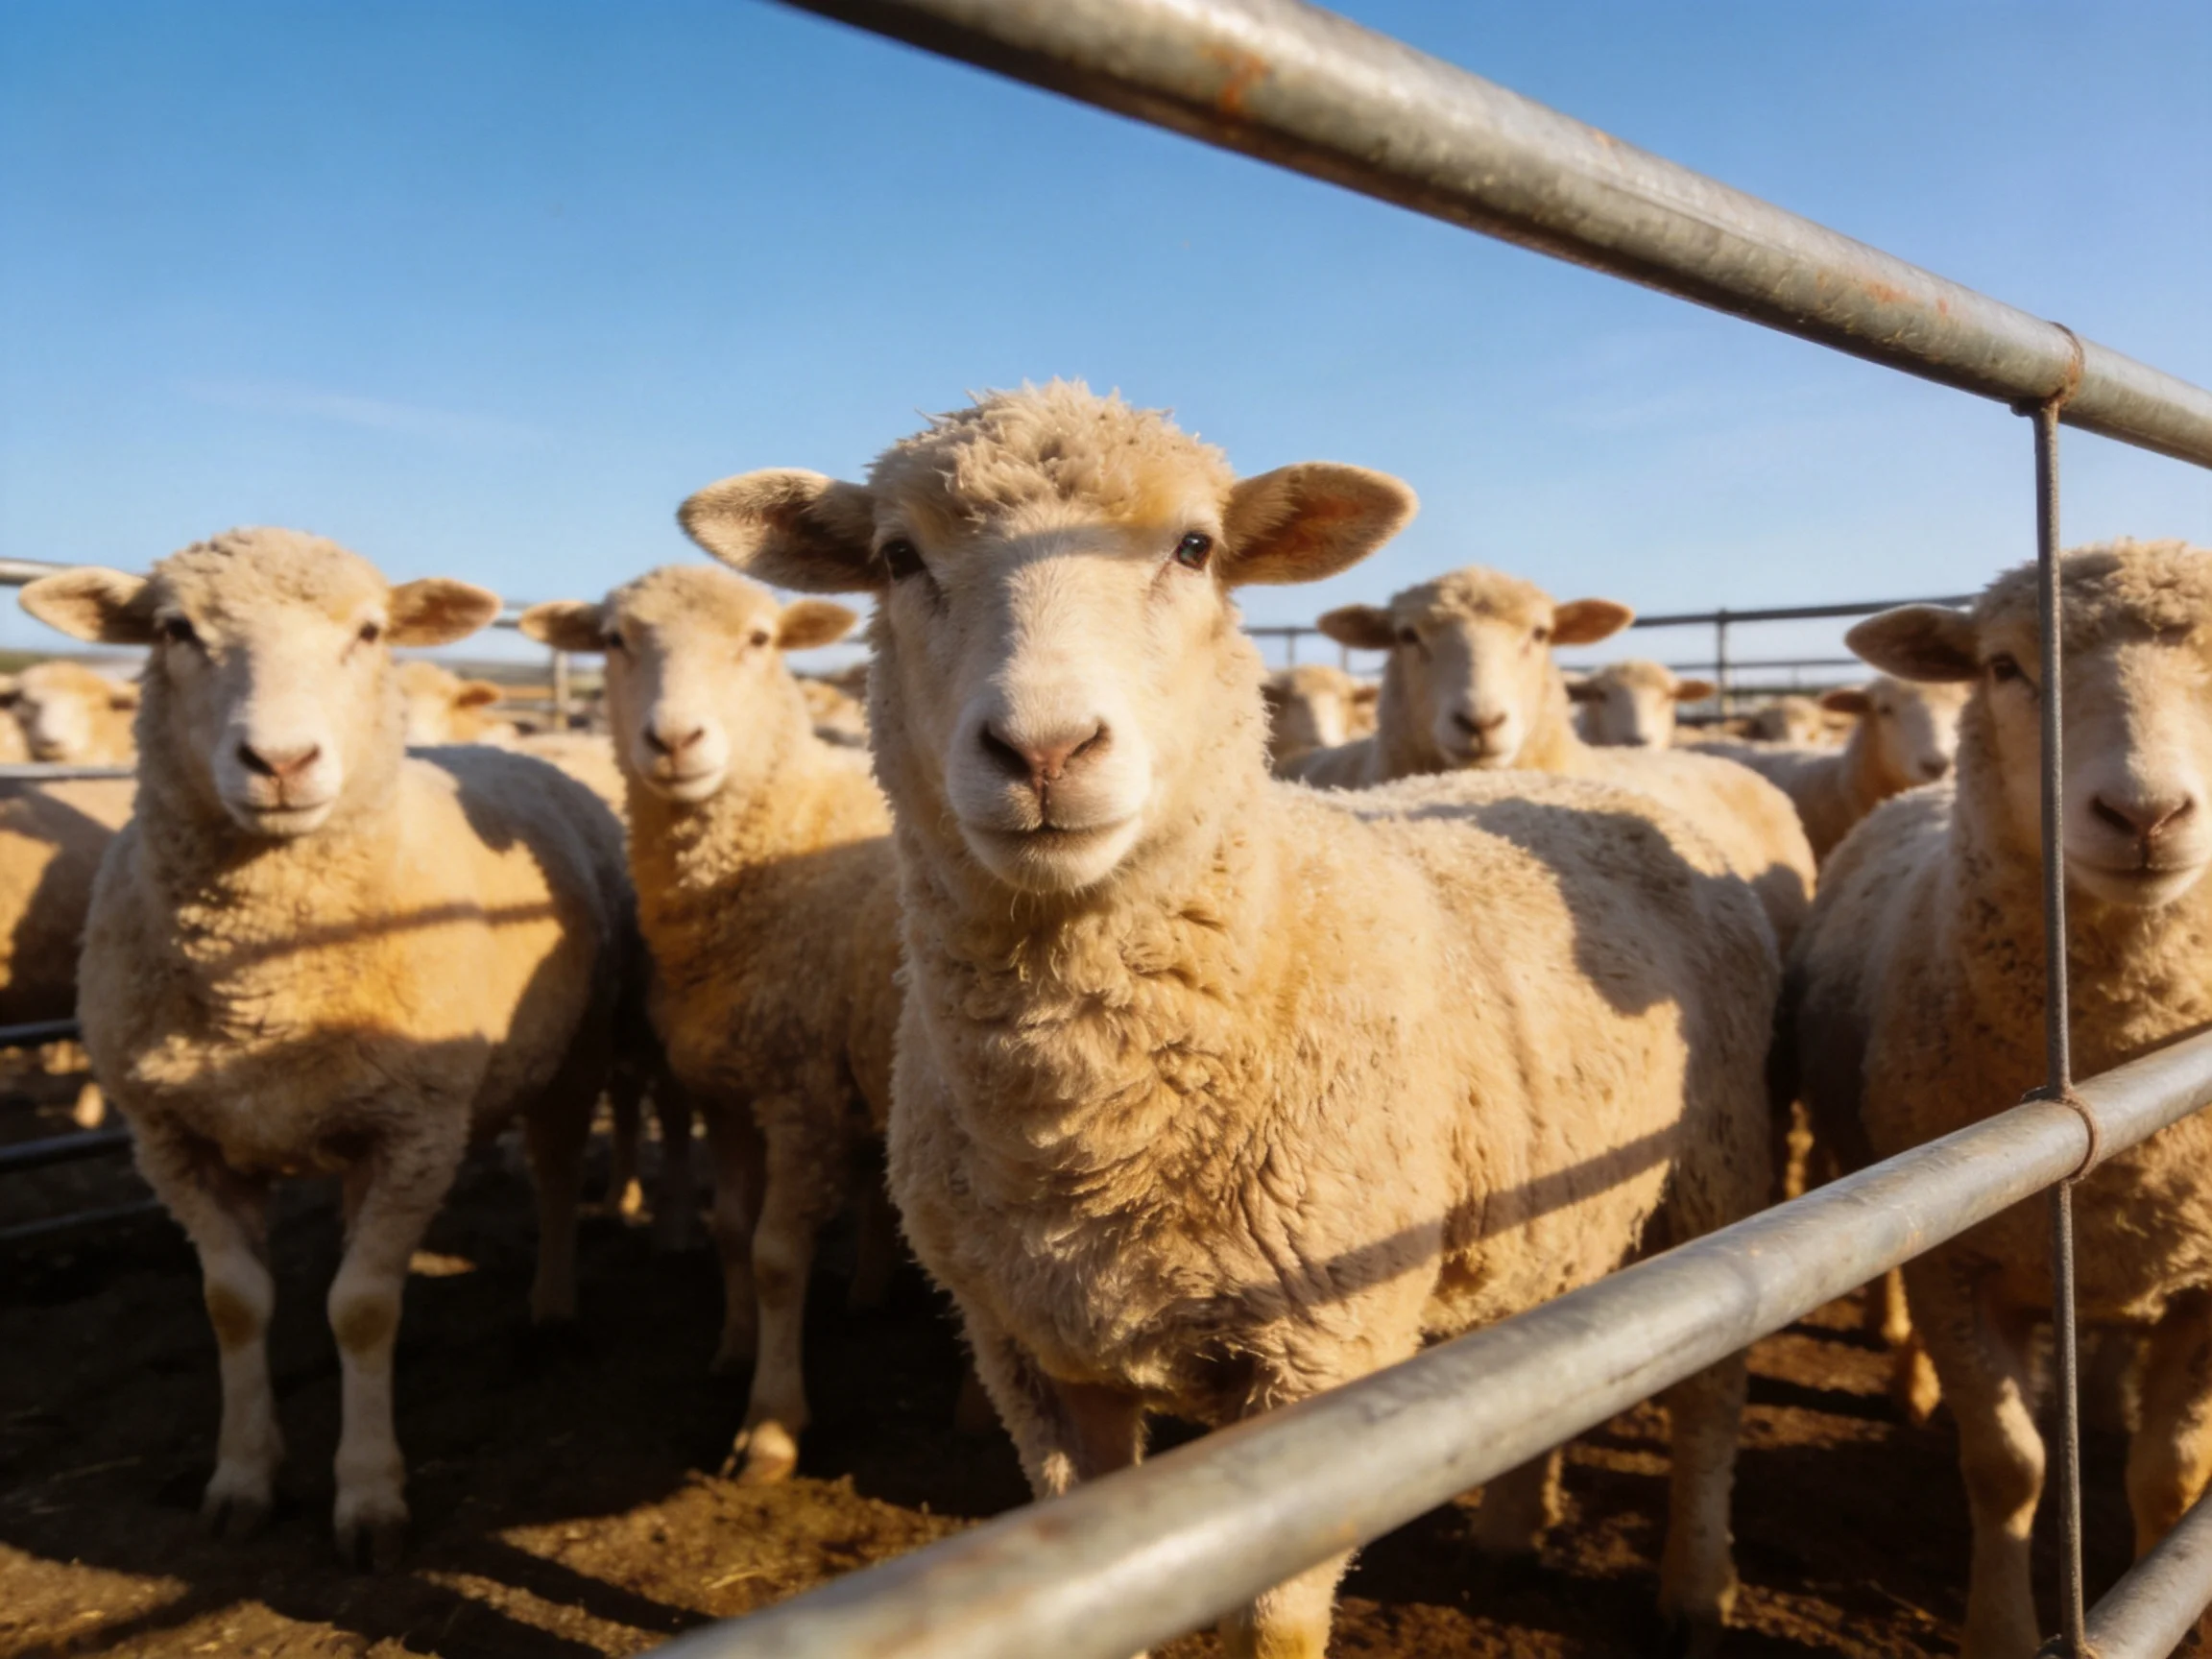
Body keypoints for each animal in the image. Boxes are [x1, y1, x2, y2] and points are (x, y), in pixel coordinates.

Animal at [20, 528, 634, 1569]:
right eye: (175, 630)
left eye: (370, 631)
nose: (280, 760)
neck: (261, 990)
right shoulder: (173, 1138)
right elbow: (234, 1304)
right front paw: (241, 1479)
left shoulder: (416, 1132)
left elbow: (364, 1308)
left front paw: (369, 1495)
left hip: (574, 1053)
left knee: (556, 1175)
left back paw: (554, 1307)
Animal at [519, 565, 903, 1483]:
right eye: (615, 639)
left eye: (760, 639)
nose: (675, 741)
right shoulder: (729, 1088)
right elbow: (731, 1231)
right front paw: (733, 1350)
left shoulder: (801, 1097)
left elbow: (776, 1255)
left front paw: (770, 1426)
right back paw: (872, 1292)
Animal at [1790, 540, 2212, 1657]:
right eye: (2005, 668)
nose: (2145, 816)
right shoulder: (1957, 1255)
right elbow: (2008, 1465)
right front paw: (2003, 1629)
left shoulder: (2203, 1281)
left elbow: (2172, 1476)